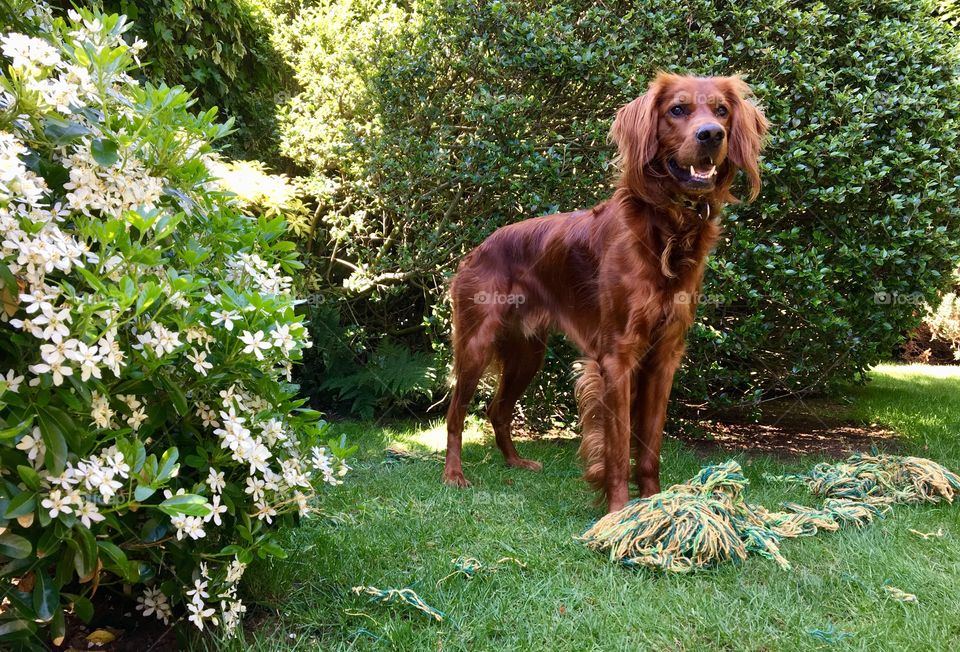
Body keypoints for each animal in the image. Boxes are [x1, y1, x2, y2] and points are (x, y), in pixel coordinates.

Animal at [446, 74, 768, 512]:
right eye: (677, 110)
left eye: (721, 111)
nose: (711, 134)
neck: (666, 229)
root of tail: (478, 248)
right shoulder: (618, 357)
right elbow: (617, 447)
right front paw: (618, 511)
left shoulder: (664, 357)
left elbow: (649, 446)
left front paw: (651, 502)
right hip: (477, 344)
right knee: (456, 412)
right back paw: (454, 474)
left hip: (528, 353)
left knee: (499, 409)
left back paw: (515, 462)